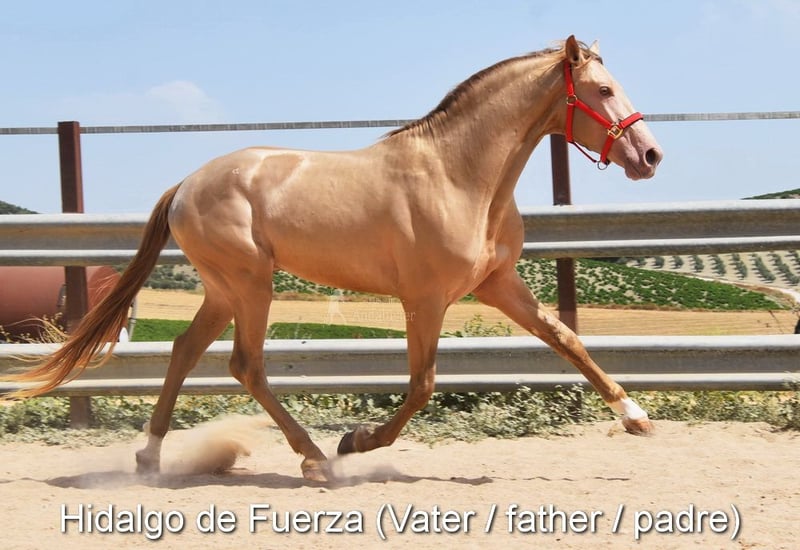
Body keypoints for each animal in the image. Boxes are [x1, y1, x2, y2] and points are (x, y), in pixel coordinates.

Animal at [5, 36, 662, 482]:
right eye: (604, 90)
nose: (651, 155)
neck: (460, 175)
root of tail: (186, 184)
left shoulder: (498, 284)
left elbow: (566, 339)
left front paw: (635, 416)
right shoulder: (424, 300)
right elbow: (422, 385)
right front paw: (356, 440)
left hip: (223, 288)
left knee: (186, 351)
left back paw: (149, 457)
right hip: (251, 283)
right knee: (246, 364)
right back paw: (317, 458)